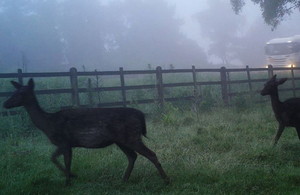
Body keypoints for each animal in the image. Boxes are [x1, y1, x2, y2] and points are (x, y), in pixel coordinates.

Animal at [2, 78, 169, 185]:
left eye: (20, 94)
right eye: (13, 92)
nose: (4, 103)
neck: (48, 124)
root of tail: (141, 115)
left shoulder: (64, 141)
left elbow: (60, 160)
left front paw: (69, 180)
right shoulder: (68, 144)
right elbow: (57, 159)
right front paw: (71, 177)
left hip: (131, 136)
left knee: (151, 154)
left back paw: (166, 180)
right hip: (121, 140)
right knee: (132, 156)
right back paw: (124, 180)